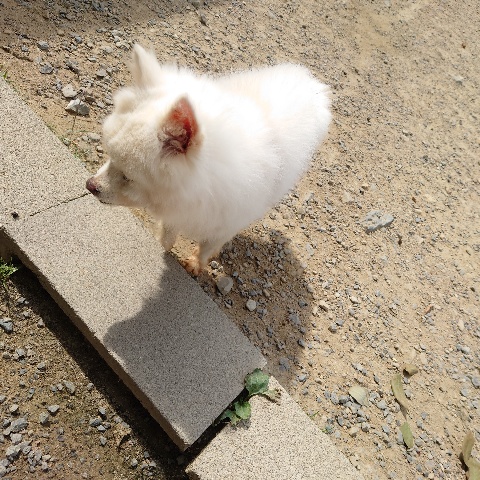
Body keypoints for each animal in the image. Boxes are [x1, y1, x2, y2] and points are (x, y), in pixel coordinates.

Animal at [86, 44, 331, 275]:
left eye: (128, 177)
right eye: (110, 158)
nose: (90, 185)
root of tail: (309, 80)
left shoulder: (226, 223)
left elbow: (207, 247)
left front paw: (196, 264)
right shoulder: (177, 211)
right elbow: (168, 233)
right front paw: (161, 246)